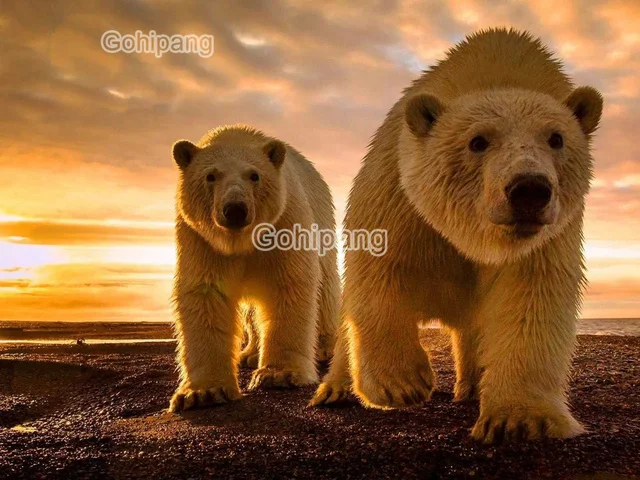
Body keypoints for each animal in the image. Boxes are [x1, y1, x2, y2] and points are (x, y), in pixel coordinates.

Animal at [169, 125, 340, 412]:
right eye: (210, 176)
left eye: (254, 175)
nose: (235, 209)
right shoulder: (201, 239)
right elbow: (205, 294)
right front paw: (203, 392)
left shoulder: (284, 222)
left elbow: (289, 284)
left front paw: (279, 374)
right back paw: (249, 353)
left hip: (322, 220)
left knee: (326, 286)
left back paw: (324, 347)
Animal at [311, 28, 603, 444]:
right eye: (477, 141)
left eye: (556, 138)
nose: (529, 190)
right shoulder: (398, 192)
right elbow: (380, 269)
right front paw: (401, 383)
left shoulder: (548, 235)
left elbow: (532, 297)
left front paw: (519, 419)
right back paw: (335, 389)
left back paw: (472, 385)